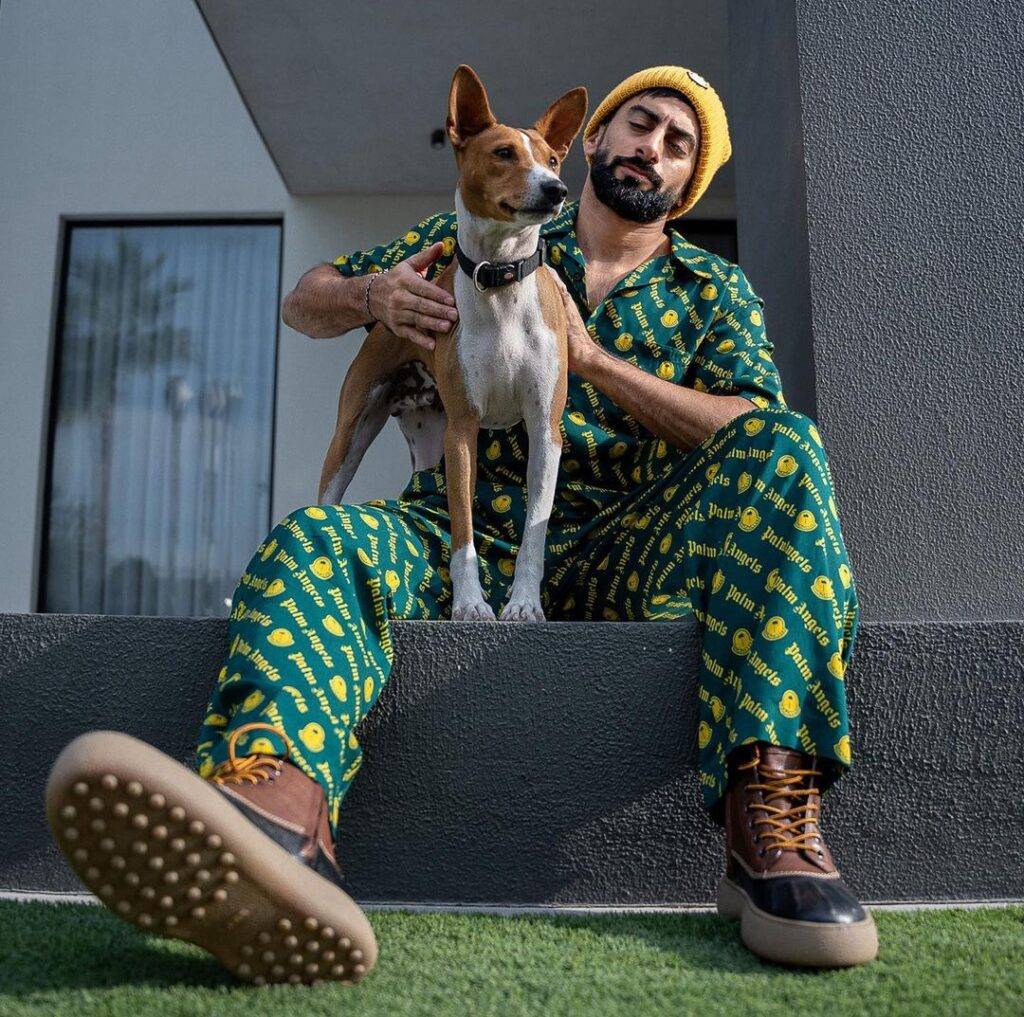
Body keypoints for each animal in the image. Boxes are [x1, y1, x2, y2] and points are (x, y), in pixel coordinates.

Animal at [315, 67, 589, 622]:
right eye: (504, 153)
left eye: (552, 160)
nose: (557, 189)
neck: (501, 283)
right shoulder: (463, 430)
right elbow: (462, 531)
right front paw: (470, 605)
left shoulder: (543, 428)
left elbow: (534, 534)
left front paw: (523, 605)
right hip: (353, 436)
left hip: (428, 441)